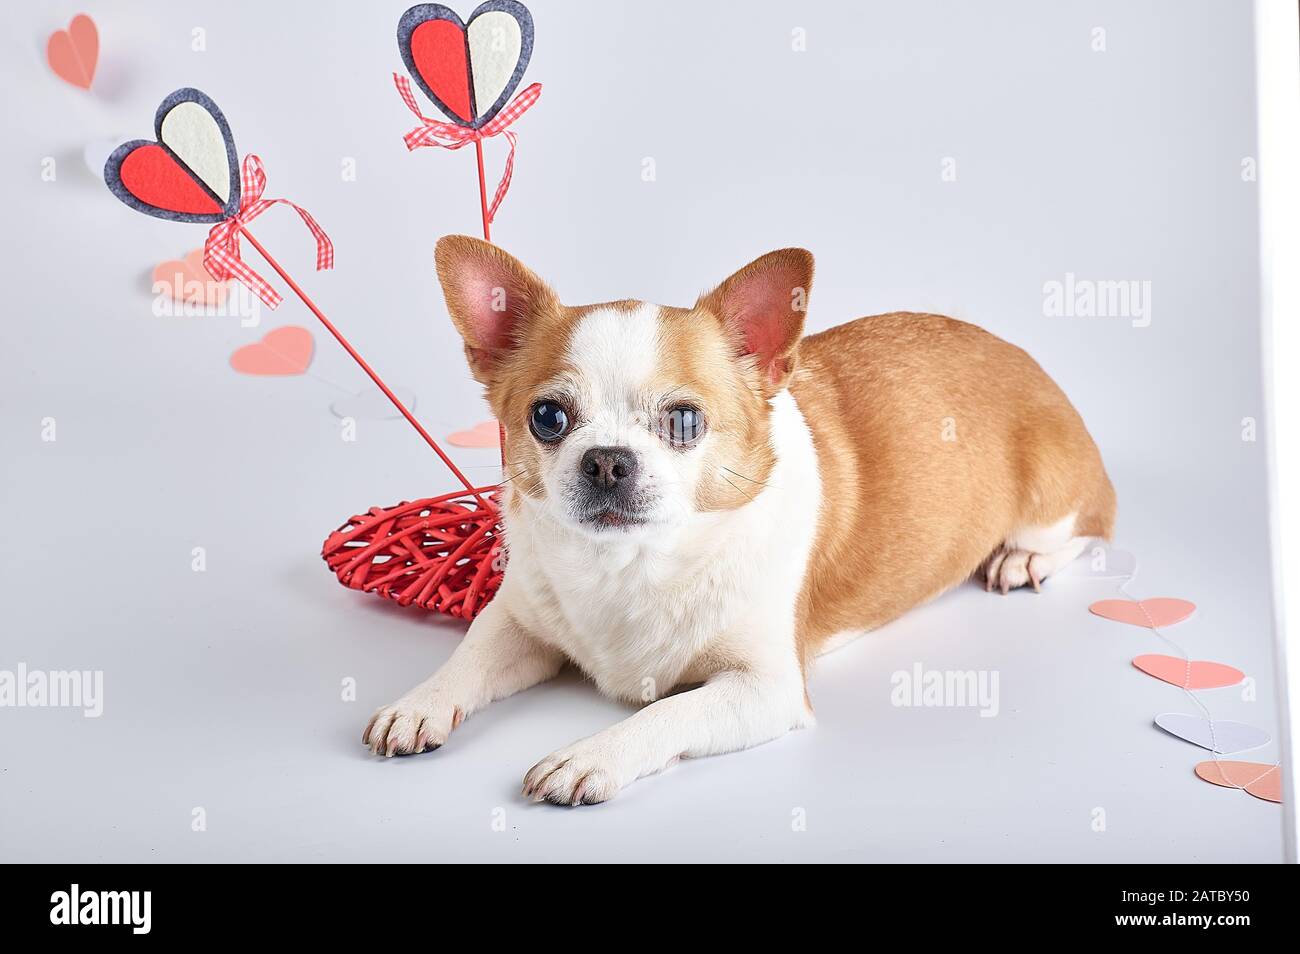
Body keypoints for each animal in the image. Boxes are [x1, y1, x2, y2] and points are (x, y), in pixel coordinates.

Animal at [364, 235, 1118, 805]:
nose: (607, 460)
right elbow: (470, 655)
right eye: (547, 418)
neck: (633, 564)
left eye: (684, 421)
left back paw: (1022, 558)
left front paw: (591, 755)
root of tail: (1017, 354)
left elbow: (667, 711)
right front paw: (420, 702)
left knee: (1087, 530)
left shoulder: (765, 689)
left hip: (1054, 491)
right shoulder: (519, 623)